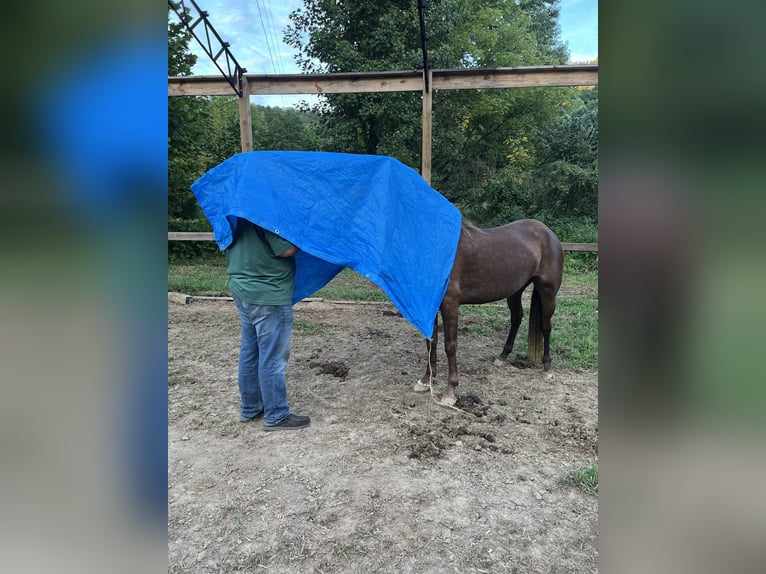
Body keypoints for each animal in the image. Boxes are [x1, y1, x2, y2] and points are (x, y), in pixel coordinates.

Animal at [416, 219, 568, 404]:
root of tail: (547, 232)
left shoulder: (450, 303)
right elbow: (430, 340)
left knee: (546, 326)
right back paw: (502, 357)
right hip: (515, 290)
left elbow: (450, 345)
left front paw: (450, 391)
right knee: (516, 318)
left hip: (547, 292)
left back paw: (547, 368)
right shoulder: (429, 303)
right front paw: (426, 380)